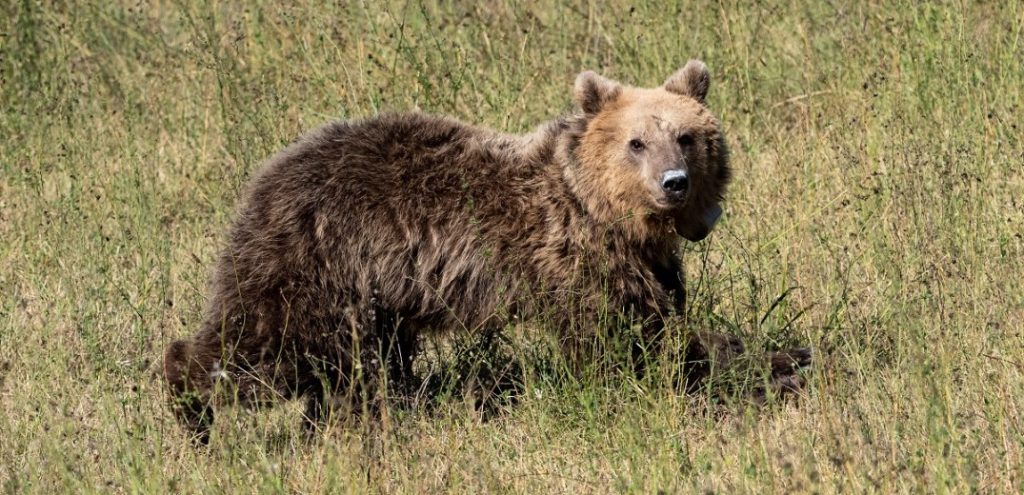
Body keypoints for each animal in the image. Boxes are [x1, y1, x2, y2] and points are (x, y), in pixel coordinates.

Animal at [163, 59, 811, 442]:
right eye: (636, 142)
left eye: (687, 136)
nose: (673, 181)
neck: (606, 214)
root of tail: (266, 176)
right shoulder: (574, 260)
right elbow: (632, 346)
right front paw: (771, 367)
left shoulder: (647, 265)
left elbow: (664, 324)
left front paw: (787, 356)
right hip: (316, 265)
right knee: (263, 350)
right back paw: (191, 410)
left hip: (373, 296)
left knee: (357, 369)